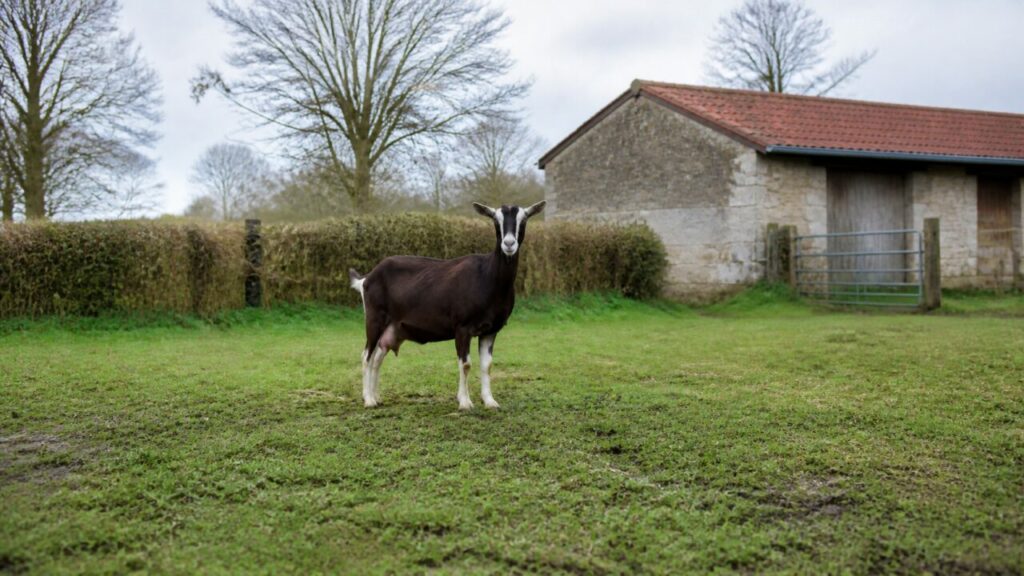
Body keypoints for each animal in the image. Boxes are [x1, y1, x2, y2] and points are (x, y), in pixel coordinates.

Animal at [348, 201, 546, 409]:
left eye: (524, 219)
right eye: (495, 220)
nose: (508, 244)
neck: (487, 276)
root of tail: (366, 279)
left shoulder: (490, 330)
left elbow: (487, 365)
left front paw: (490, 401)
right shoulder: (462, 327)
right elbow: (465, 364)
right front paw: (465, 402)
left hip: (393, 329)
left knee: (378, 358)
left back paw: (376, 396)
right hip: (374, 319)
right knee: (366, 356)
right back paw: (368, 400)